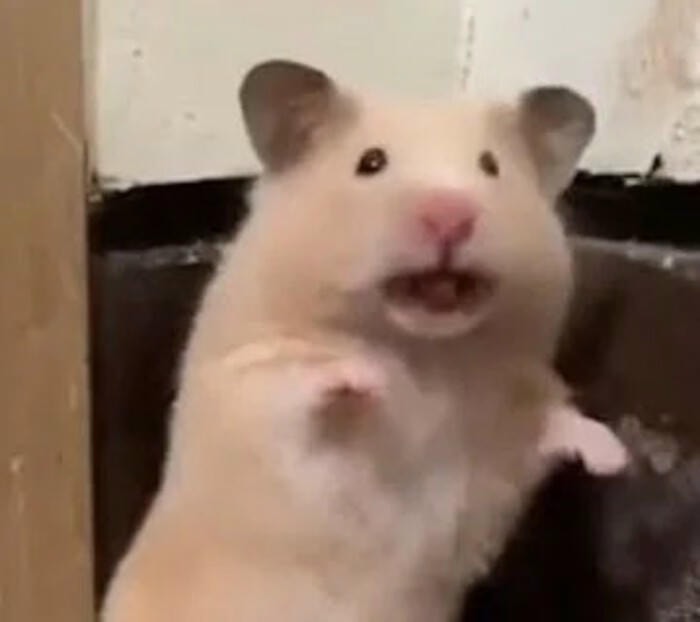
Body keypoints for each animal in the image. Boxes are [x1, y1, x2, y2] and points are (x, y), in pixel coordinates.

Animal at [101, 60, 627, 622]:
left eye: (491, 166)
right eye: (370, 163)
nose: (451, 216)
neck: (428, 352)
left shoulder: (502, 439)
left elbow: (550, 420)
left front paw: (613, 456)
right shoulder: (245, 387)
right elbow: (298, 381)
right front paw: (370, 376)